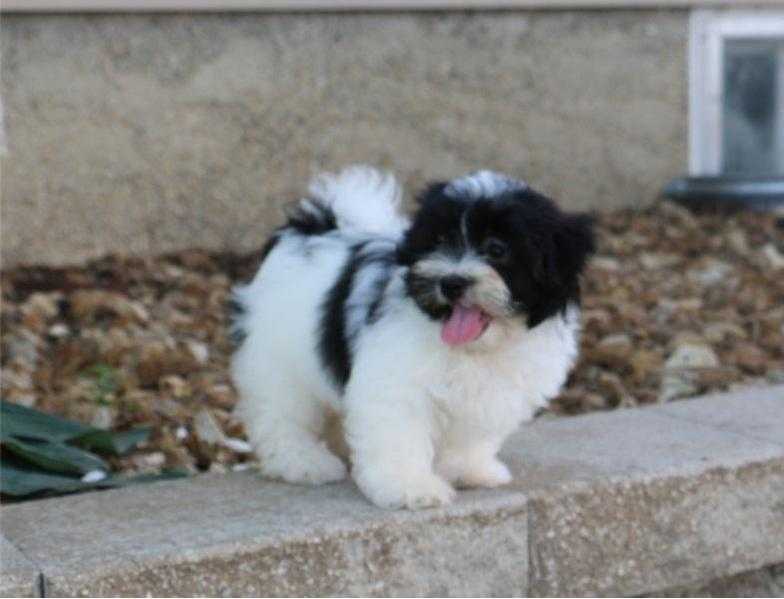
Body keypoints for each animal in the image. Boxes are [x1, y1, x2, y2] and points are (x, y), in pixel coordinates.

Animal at [231, 165, 596, 510]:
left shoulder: (490, 395)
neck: (476, 349)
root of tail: (310, 229)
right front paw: (410, 488)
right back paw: (301, 462)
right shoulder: (395, 385)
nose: (452, 282)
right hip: (276, 356)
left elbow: (471, 435)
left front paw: (468, 470)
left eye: (497, 249)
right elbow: (399, 434)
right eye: (440, 240)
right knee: (280, 413)